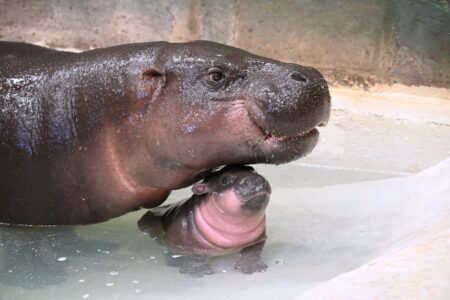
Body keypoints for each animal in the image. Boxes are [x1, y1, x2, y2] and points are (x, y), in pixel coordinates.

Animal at [137, 165, 270, 276]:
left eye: (252, 169)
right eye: (225, 180)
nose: (255, 179)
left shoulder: (258, 238)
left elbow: (254, 251)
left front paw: (252, 267)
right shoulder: (185, 244)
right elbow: (196, 256)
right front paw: (197, 271)